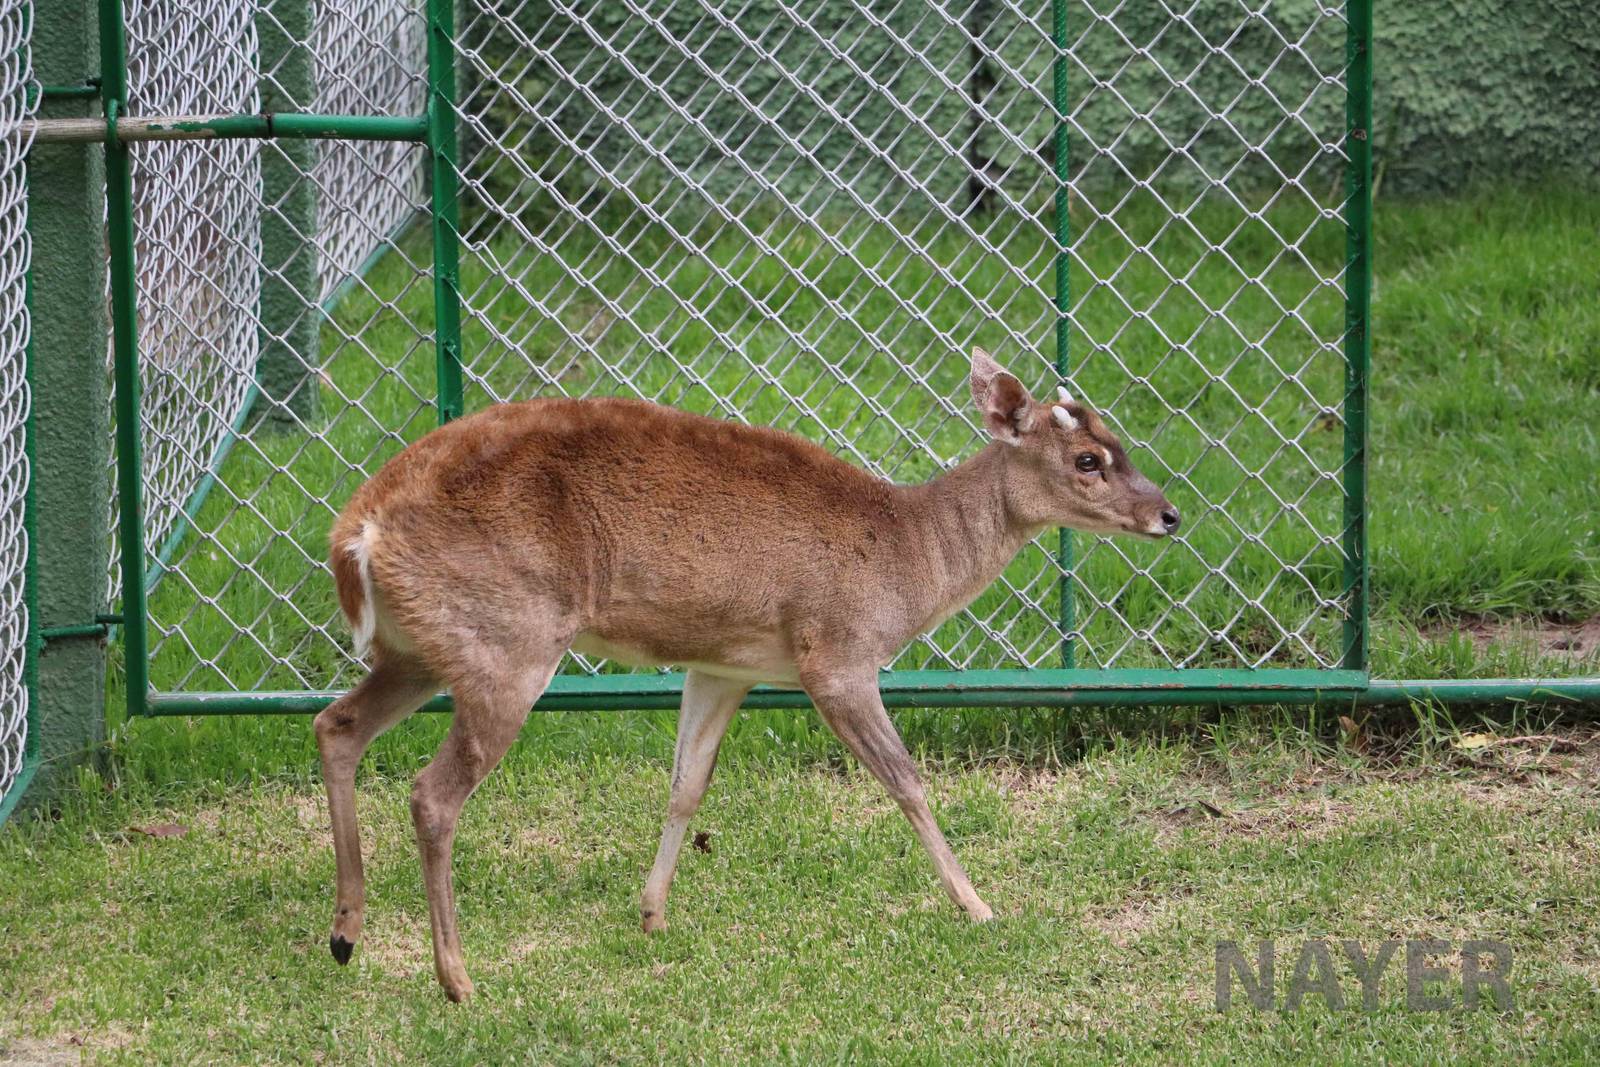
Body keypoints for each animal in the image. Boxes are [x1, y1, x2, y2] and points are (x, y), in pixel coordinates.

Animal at [314, 347, 1179, 1001]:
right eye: (1089, 459)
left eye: (1123, 441)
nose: (1169, 514)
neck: (905, 561)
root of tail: (356, 535)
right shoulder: (836, 652)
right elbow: (907, 780)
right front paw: (979, 906)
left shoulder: (726, 665)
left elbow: (686, 784)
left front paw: (653, 914)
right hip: (508, 641)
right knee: (431, 791)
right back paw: (456, 978)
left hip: (422, 648)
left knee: (336, 723)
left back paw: (346, 931)